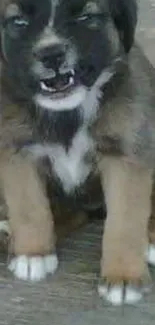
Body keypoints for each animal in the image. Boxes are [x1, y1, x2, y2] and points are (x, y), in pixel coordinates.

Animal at [0, 0, 154, 306]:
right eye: (19, 21)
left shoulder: (126, 154)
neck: (67, 113)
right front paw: (33, 253)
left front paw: (123, 277)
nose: (51, 54)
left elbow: (125, 220)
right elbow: (29, 206)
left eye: (84, 16)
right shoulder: (17, 150)